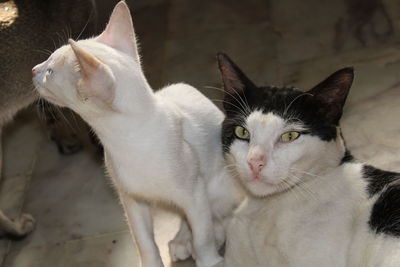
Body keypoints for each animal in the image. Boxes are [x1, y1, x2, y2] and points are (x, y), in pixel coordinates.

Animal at [32, 2, 241, 267]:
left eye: (49, 72)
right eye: (46, 63)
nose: (33, 70)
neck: (131, 140)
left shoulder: (194, 192)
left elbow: (203, 233)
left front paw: (209, 259)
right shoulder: (132, 200)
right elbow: (144, 241)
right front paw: (156, 258)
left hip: (220, 183)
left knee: (223, 212)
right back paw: (182, 240)